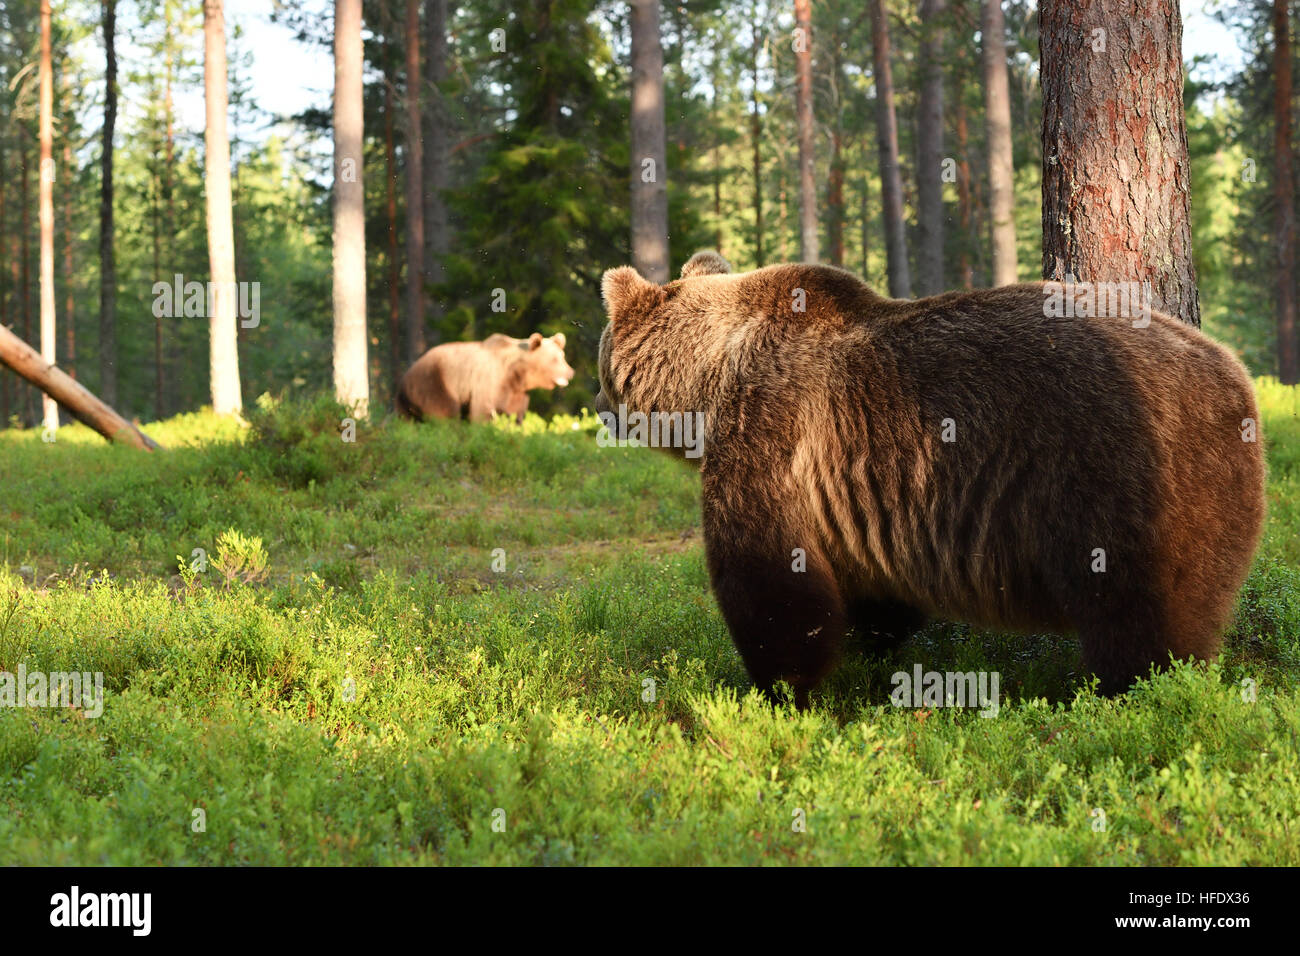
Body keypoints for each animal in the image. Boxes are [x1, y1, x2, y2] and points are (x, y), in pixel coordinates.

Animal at [392, 332, 572, 421]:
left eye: (563, 356)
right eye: (555, 359)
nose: (570, 372)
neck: (516, 375)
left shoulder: (518, 393)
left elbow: (515, 414)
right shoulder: (489, 381)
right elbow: (482, 411)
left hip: (405, 402)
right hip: (433, 383)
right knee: (445, 412)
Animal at [598, 251, 1268, 707]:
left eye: (600, 356)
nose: (598, 406)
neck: (709, 385)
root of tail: (1234, 381)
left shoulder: (770, 433)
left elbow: (769, 578)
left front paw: (778, 690)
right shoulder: (856, 496)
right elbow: (870, 586)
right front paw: (870, 646)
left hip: (1117, 477)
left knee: (1134, 613)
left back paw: (1133, 691)